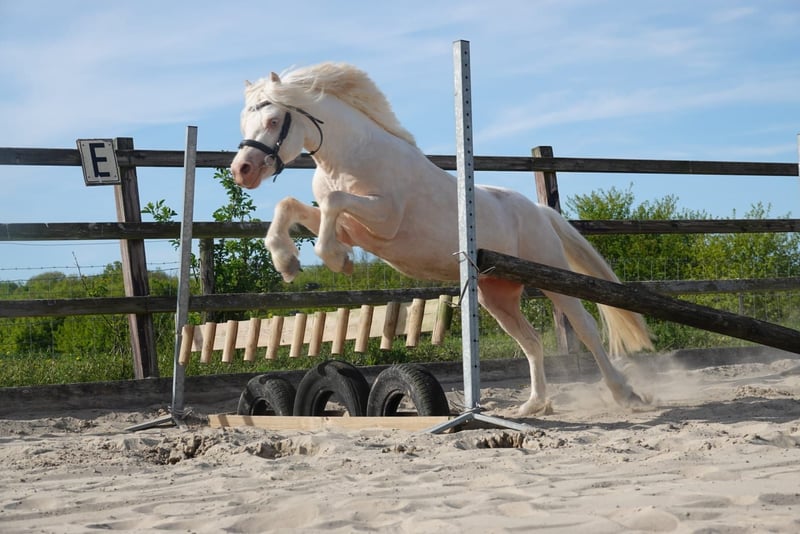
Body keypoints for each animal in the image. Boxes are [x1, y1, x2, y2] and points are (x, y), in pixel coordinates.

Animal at [230, 62, 654, 415]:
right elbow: (290, 206)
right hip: (496, 295)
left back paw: (626, 394)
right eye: (243, 124)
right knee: (532, 341)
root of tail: (539, 211)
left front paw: (335, 259)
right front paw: (289, 262)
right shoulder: (353, 225)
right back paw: (534, 406)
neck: (350, 156)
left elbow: (333, 203)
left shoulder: (384, 219)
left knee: (586, 328)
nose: (242, 171)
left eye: (272, 120)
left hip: (551, 277)